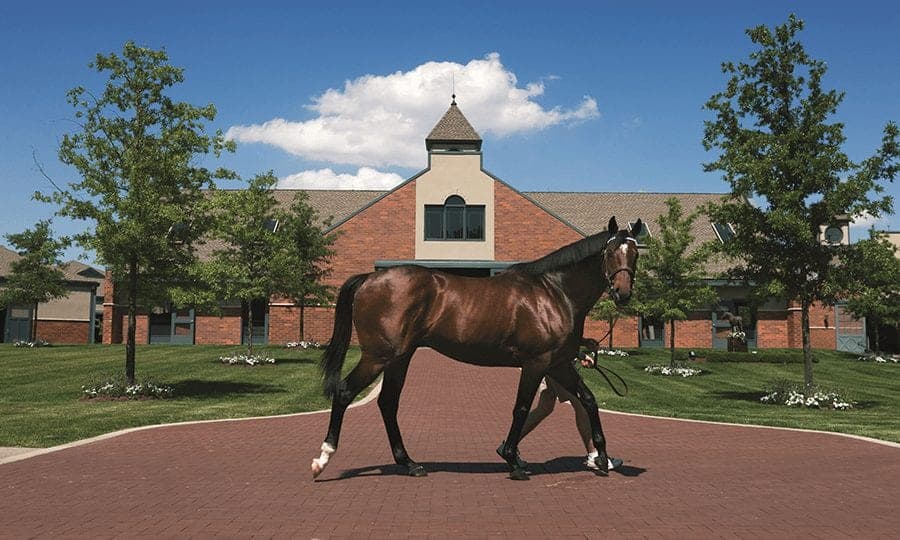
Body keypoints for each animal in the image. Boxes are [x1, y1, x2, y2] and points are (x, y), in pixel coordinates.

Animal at [310, 215, 640, 480]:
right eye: (611, 252)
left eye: (635, 253)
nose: (622, 294)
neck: (554, 293)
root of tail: (370, 277)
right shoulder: (536, 363)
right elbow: (521, 408)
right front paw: (512, 461)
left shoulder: (558, 364)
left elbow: (588, 400)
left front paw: (602, 458)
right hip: (378, 356)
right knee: (344, 392)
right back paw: (322, 459)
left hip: (399, 358)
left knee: (388, 403)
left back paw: (410, 463)